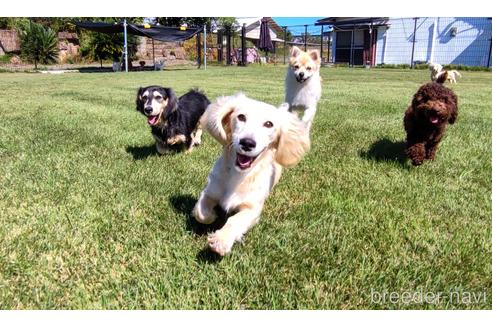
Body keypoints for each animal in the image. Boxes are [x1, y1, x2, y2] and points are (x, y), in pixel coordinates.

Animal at [194, 93, 310, 256]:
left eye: (269, 124)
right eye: (241, 117)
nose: (247, 143)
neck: (237, 176)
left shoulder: (252, 209)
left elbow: (234, 221)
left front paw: (221, 240)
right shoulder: (209, 191)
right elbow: (201, 213)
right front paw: (212, 216)